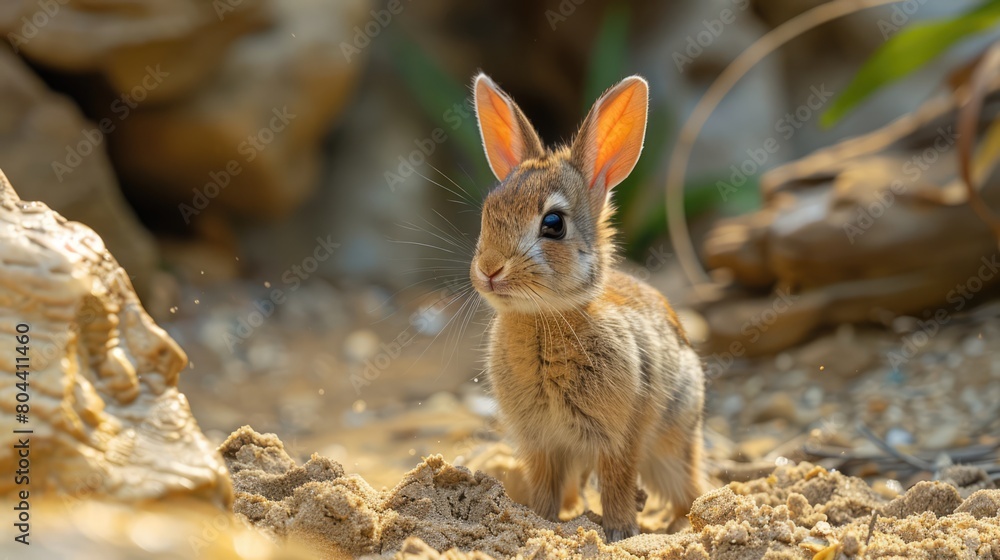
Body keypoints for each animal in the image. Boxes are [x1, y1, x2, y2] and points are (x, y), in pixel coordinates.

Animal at [466, 74, 708, 544]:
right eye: (488, 213)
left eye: (553, 225)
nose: (489, 269)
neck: (545, 318)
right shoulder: (540, 441)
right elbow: (545, 483)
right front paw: (538, 520)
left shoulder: (619, 436)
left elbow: (616, 480)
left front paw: (617, 533)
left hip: (672, 441)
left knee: (687, 488)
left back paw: (679, 526)